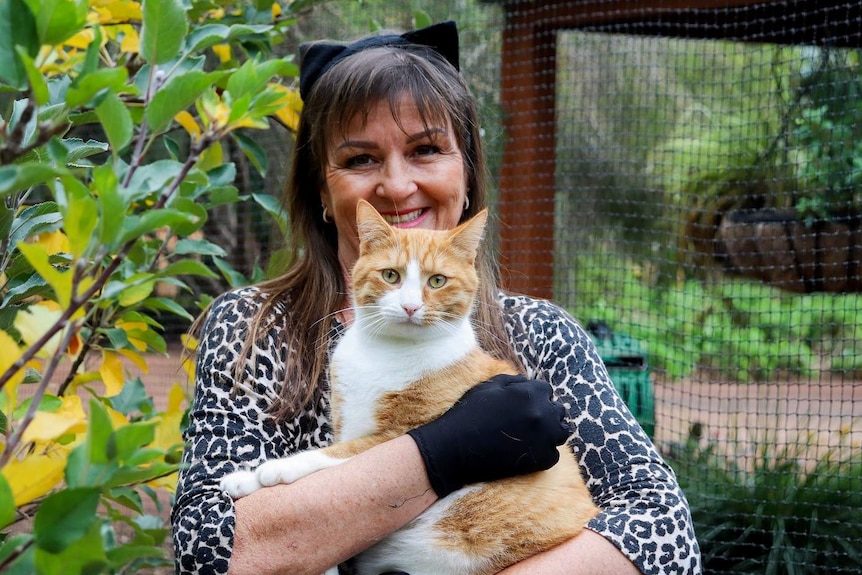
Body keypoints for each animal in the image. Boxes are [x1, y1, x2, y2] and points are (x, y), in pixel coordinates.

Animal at [223, 199, 600, 575]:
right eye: (391, 275)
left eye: (437, 280)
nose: (410, 306)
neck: (387, 350)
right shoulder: (347, 421)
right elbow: (337, 449)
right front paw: (244, 479)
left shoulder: (395, 435)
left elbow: (337, 454)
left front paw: (276, 469)